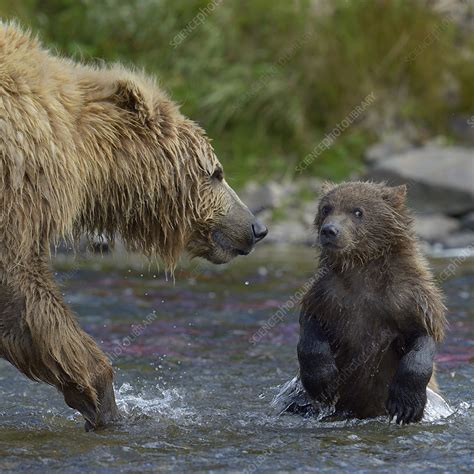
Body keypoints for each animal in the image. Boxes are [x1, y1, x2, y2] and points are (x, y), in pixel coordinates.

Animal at [276, 183, 446, 424]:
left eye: (357, 211)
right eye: (326, 208)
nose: (329, 230)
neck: (362, 268)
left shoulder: (408, 298)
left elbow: (422, 337)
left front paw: (405, 405)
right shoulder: (327, 294)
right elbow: (311, 328)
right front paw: (323, 381)